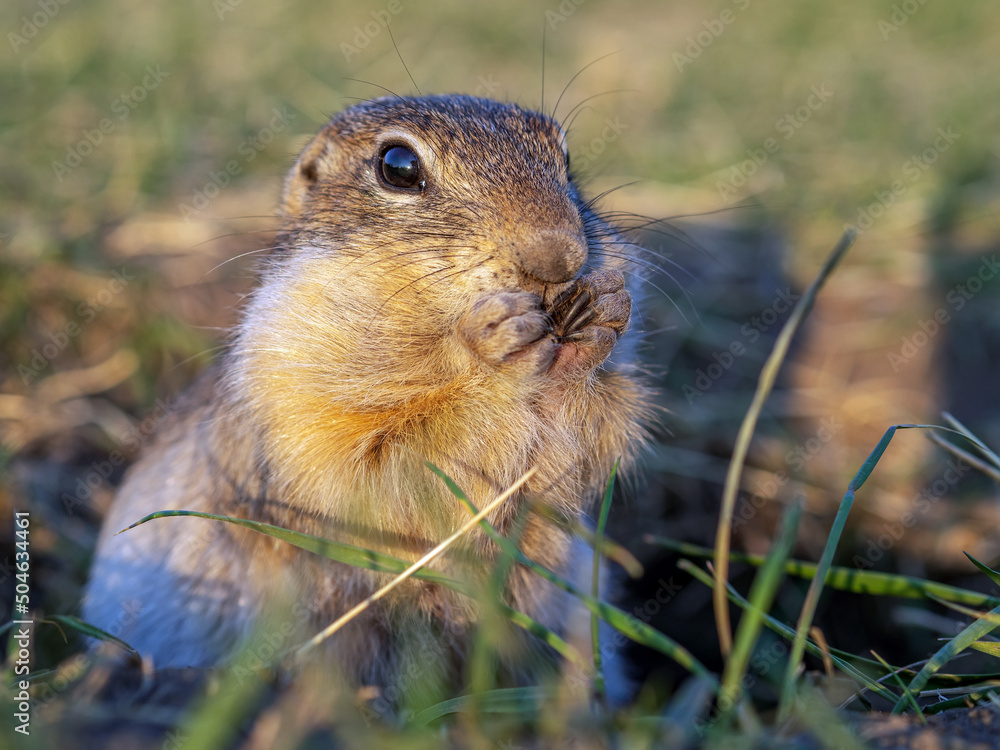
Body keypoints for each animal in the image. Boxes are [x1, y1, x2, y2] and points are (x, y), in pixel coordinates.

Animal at [84, 95, 656, 704]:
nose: (560, 258)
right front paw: (498, 347)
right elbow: (377, 472)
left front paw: (601, 313)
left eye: (566, 160)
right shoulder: (289, 391)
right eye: (397, 166)